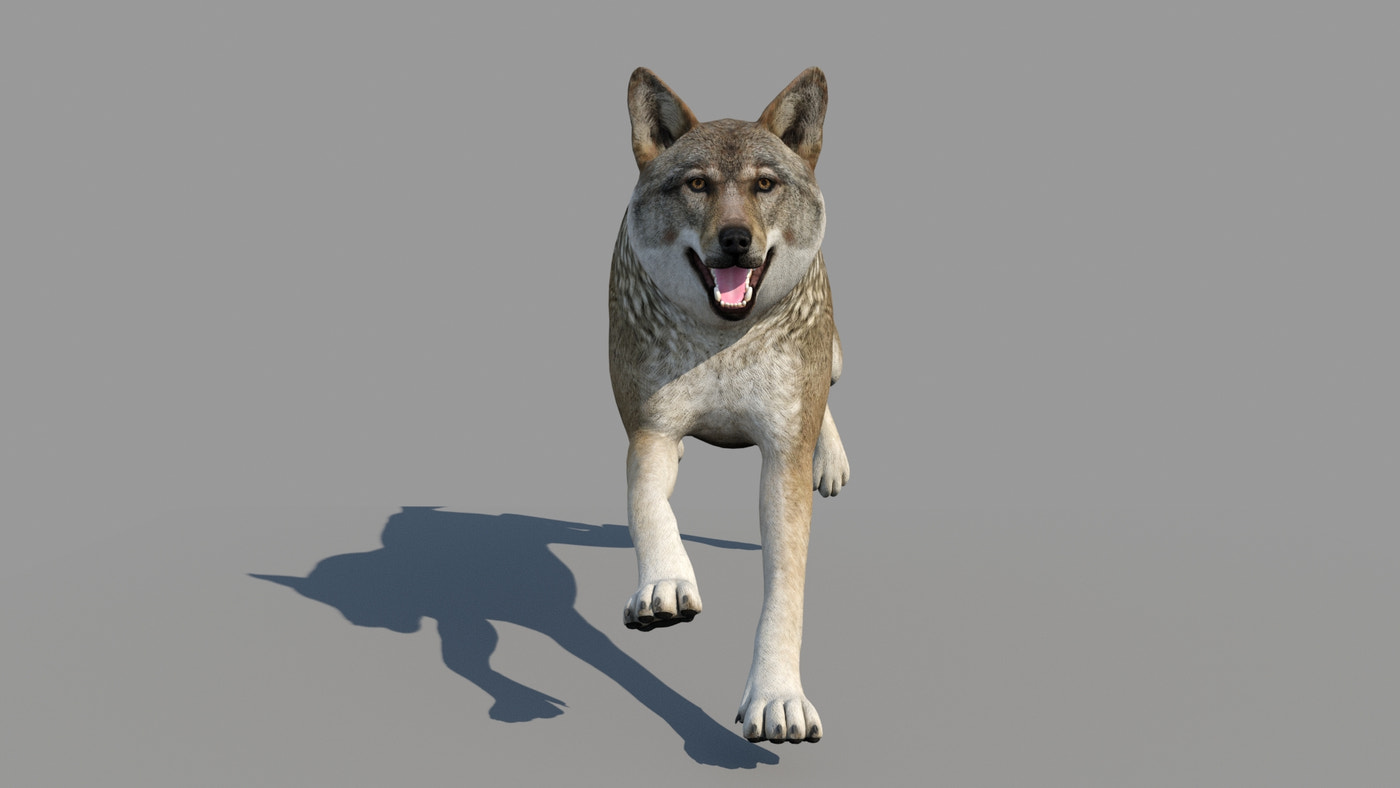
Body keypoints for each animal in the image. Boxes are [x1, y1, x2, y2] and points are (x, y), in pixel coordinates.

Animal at [609, 67, 849, 744]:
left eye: (764, 184)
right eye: (697, 184)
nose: (737, 240)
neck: (721, 343)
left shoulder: (781, 457)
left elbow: (785, 591)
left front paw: (778, 699)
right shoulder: (651, 433)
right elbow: (647, 507)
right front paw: (665, 581)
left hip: (833, 355)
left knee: (829, 392)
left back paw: (831, 460)